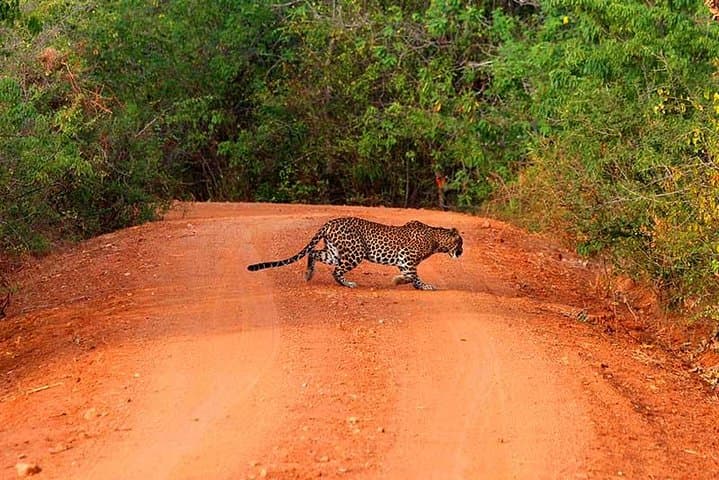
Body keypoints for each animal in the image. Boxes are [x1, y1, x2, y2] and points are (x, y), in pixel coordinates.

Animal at [247, 217, 463, 290]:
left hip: (334, 251)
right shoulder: (407, 258)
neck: (436, 240)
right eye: (460, 243)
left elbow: (409, 276)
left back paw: (308, 274)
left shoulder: (403, 261)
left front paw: (399, 280)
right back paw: (348, 284)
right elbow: (414, 277)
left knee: (314, 253)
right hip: (355, 252)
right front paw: (422, 286)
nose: (461, 252)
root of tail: (329, 222)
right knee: (335, 271)